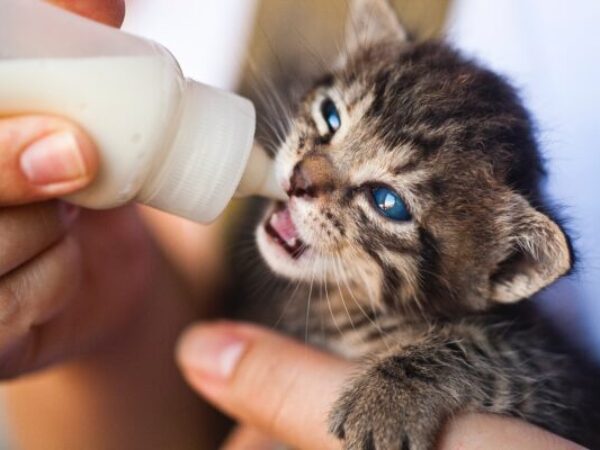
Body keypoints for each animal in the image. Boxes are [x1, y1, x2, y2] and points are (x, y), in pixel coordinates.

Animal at [239, 1, 600, 448]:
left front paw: (387, 396)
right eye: (330, 116)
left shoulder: (560, 387)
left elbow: (493, 351)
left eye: (387, 202)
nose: (297, 180)